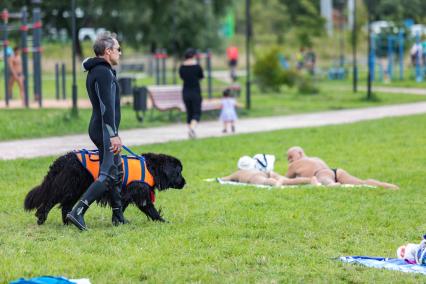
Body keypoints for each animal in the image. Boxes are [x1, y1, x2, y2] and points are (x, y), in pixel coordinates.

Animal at [24, 152, 185, 225]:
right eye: (179, 172)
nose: (185, 182)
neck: (152, 169)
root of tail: (63, 159)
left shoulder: (136, 195)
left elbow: (147, 209)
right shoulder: (134, 192)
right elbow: (127, 207)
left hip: (76, 189)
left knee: (65, 207)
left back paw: (68, 222)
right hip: (68, 187)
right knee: (50, 201)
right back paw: (41, 217)